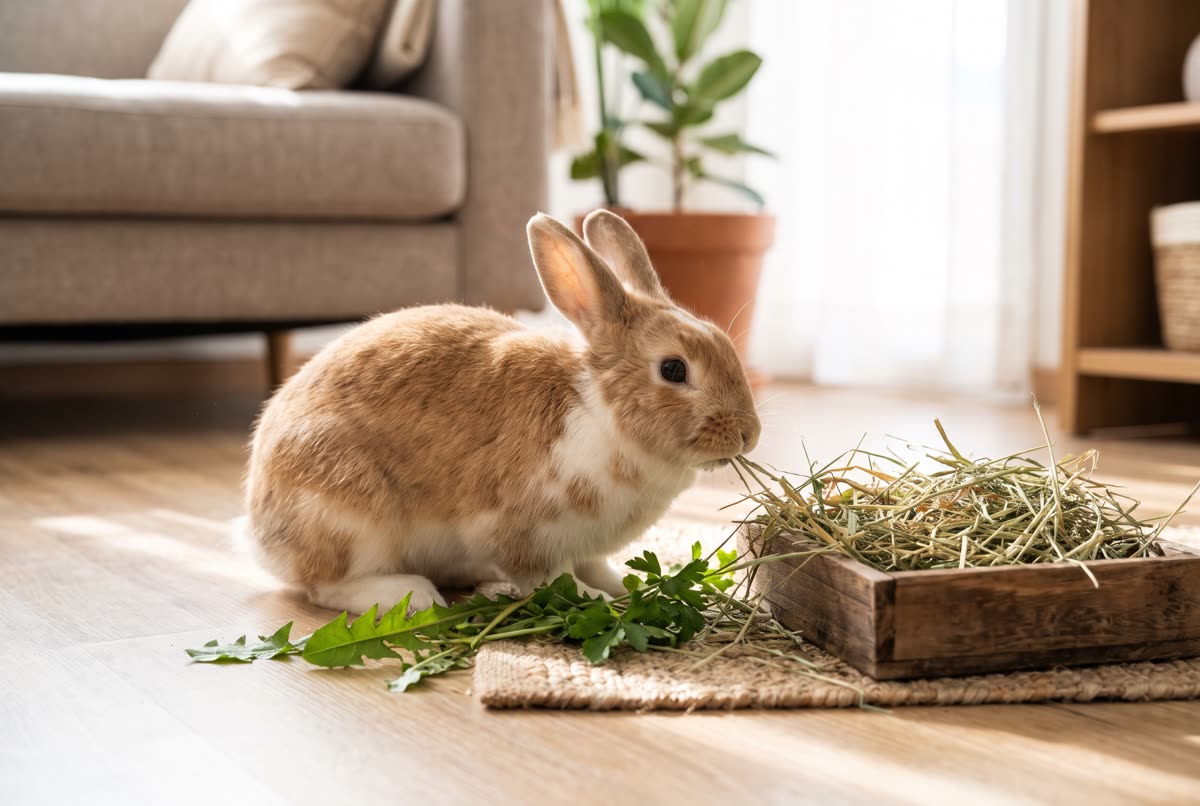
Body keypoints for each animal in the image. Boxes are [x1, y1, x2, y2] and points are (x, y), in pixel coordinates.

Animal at [242, 210, 761, 615]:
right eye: (673, 369)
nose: (748, 435)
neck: (603, 410)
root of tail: (258, 535)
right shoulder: (529, 534)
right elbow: (555, 579)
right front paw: (597, 599)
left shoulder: (585, 544)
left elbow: (595, 565)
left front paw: (621, 585)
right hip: (349, 512)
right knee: (325, 586)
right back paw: (410, 595)